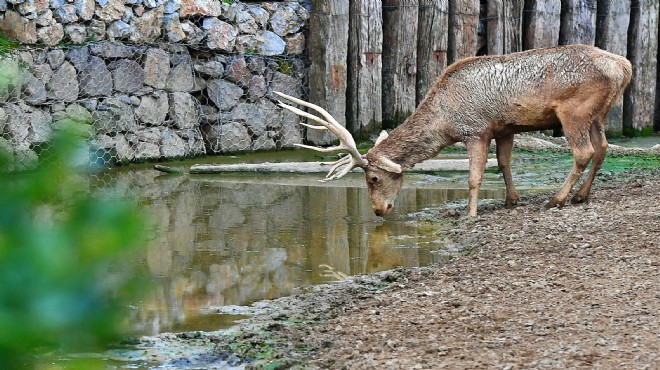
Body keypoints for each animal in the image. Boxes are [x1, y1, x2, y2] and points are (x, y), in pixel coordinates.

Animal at [274, 44, 636, 217]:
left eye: (373, 178)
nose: (379, 210)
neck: (445, 120)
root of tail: (625, 66)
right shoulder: (504, 128)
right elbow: (504, 164)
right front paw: (511, 200)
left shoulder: (475, 129)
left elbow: (475, 176)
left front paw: (470, 213)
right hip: (598, 114)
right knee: (603, 149)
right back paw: (581, 196)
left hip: (574, 111)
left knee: (583, 152)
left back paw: (557, 199)